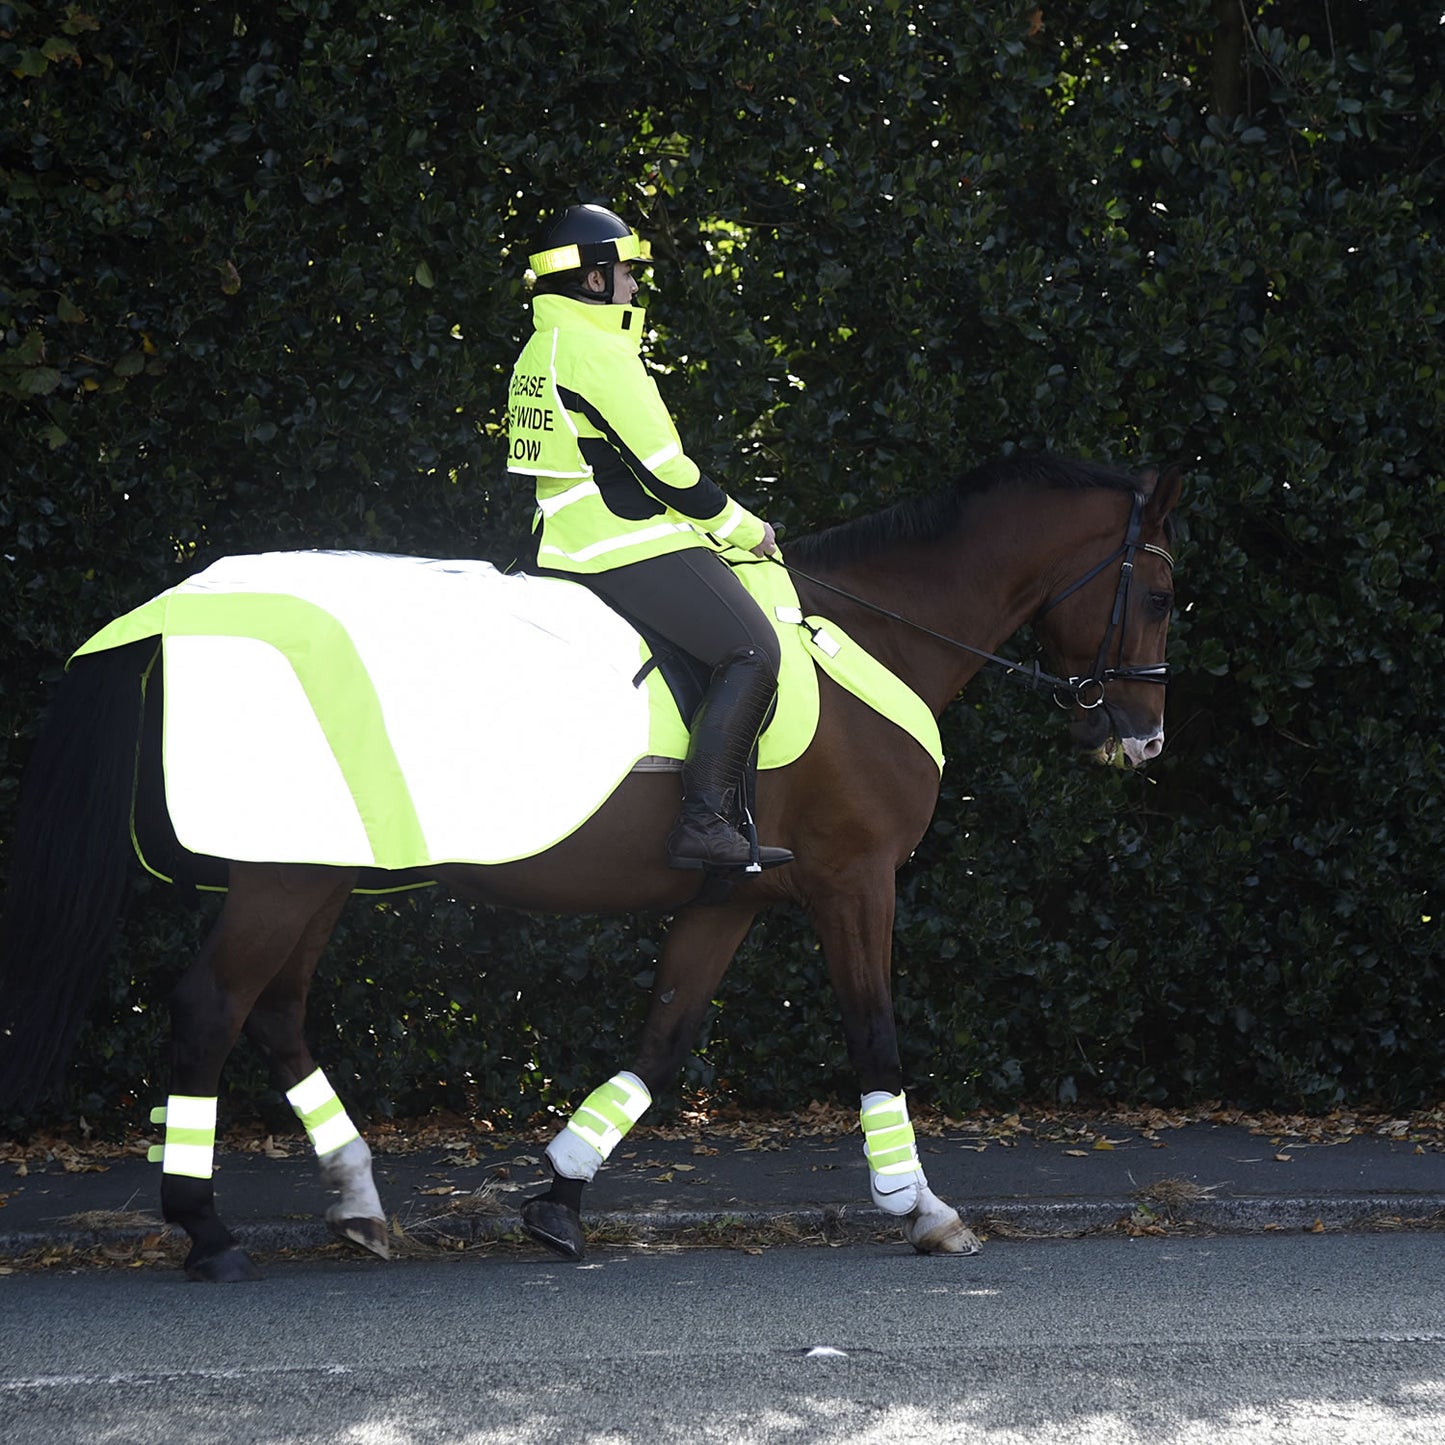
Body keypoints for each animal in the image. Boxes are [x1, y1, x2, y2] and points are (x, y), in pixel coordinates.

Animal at [0, 452, 1180, 1281]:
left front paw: (557, 1199)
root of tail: (181, 604)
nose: (1141, 739)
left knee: (275, 1011)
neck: (872, 635)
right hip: (283, 872)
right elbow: (873, 1034)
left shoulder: (731, 894)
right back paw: (206, 1230)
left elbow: (661, 1040)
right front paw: (922, 1208)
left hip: (314, 868)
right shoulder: (854, 882)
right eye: (1164, 596)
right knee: (212, 1006)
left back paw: (361, 1204)